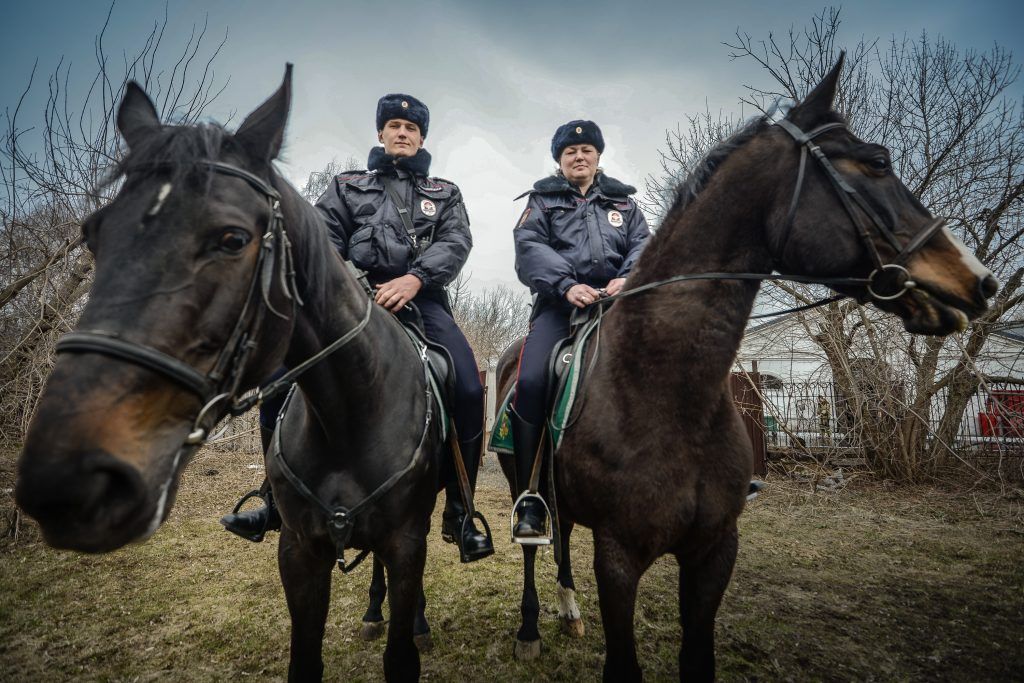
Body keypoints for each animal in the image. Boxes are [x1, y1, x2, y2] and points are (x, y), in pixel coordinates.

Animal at [14, 66, 448, 679]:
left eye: (233, 238)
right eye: (94, 233)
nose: (66, 478)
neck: (352, 416)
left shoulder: (407, 542)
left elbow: (401, 650)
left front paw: (412, 627)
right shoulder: (300, 552)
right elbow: (304, 658)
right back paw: (371, 614)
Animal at [491, 56, 995, 679]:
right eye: (877, 162)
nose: (980, 281)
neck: (666, 393)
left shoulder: (714, 552)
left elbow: (699, 656)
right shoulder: (619, 558)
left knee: (561, 538)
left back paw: (568, 609)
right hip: (524, 482)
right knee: (537, 543)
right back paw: (532, 628)